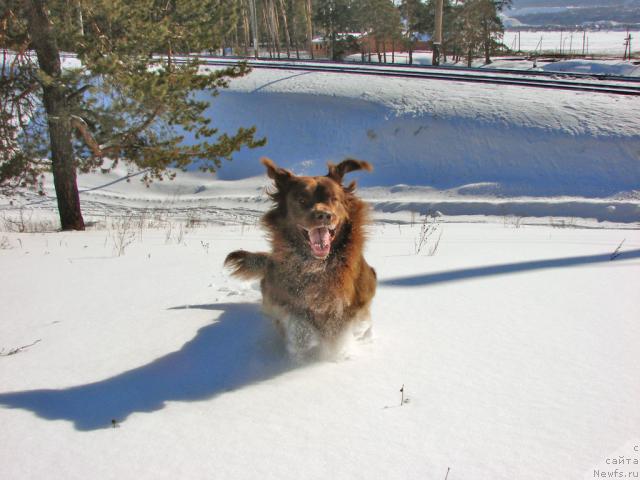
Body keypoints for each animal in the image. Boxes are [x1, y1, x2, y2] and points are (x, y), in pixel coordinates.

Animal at [224, 158, 376, 356]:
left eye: (334, 199)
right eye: (301, 200)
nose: (324, 215)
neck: (318, 266)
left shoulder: (359, 297)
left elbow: (350, 324)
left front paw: (341, 347)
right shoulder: (280, 298)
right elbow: (297, 324)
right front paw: (303, 341)